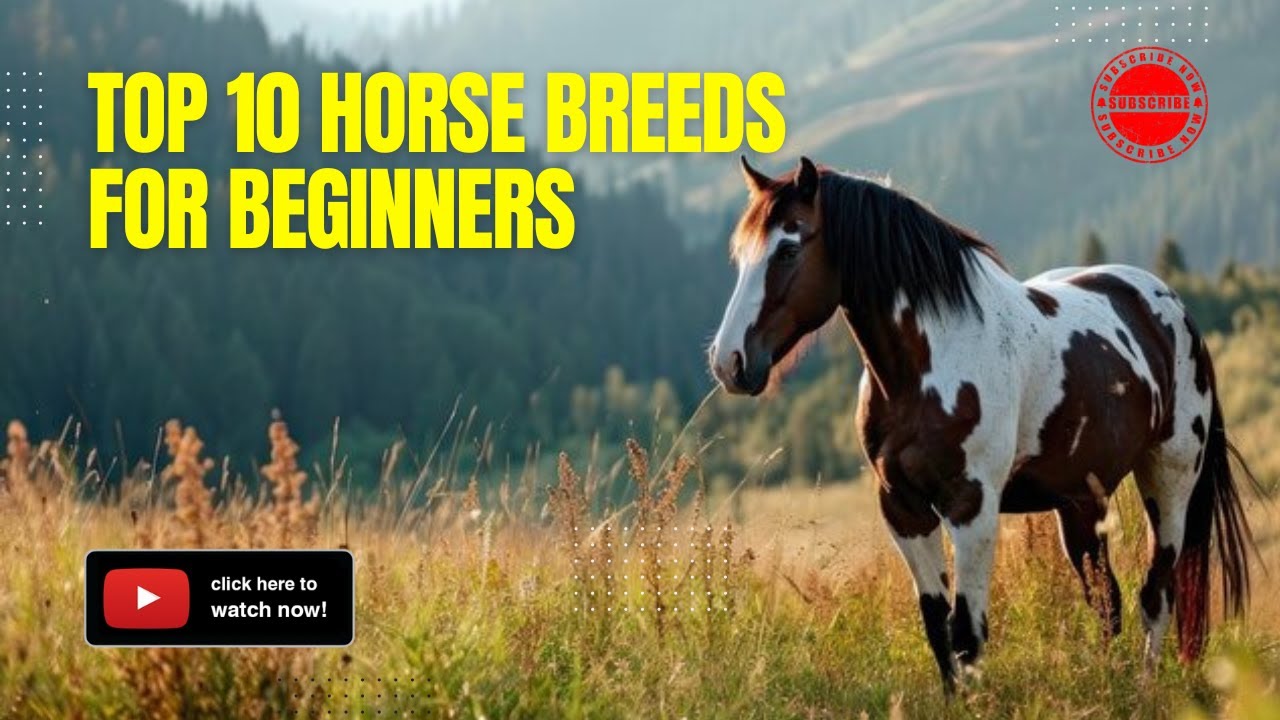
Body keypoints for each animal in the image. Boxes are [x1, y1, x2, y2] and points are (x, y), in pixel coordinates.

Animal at [708, 156, 1256, 693]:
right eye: (739, 257)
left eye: (787, 248)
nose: (728, 362)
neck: (927, 363)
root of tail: (1170, 306)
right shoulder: (902, 507)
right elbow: (937, 626)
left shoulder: (971, 506)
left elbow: (967, 632)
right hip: (1081, 502)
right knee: (1108, 601)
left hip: (1168, 481)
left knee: (1155, 594)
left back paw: (1143, 690)